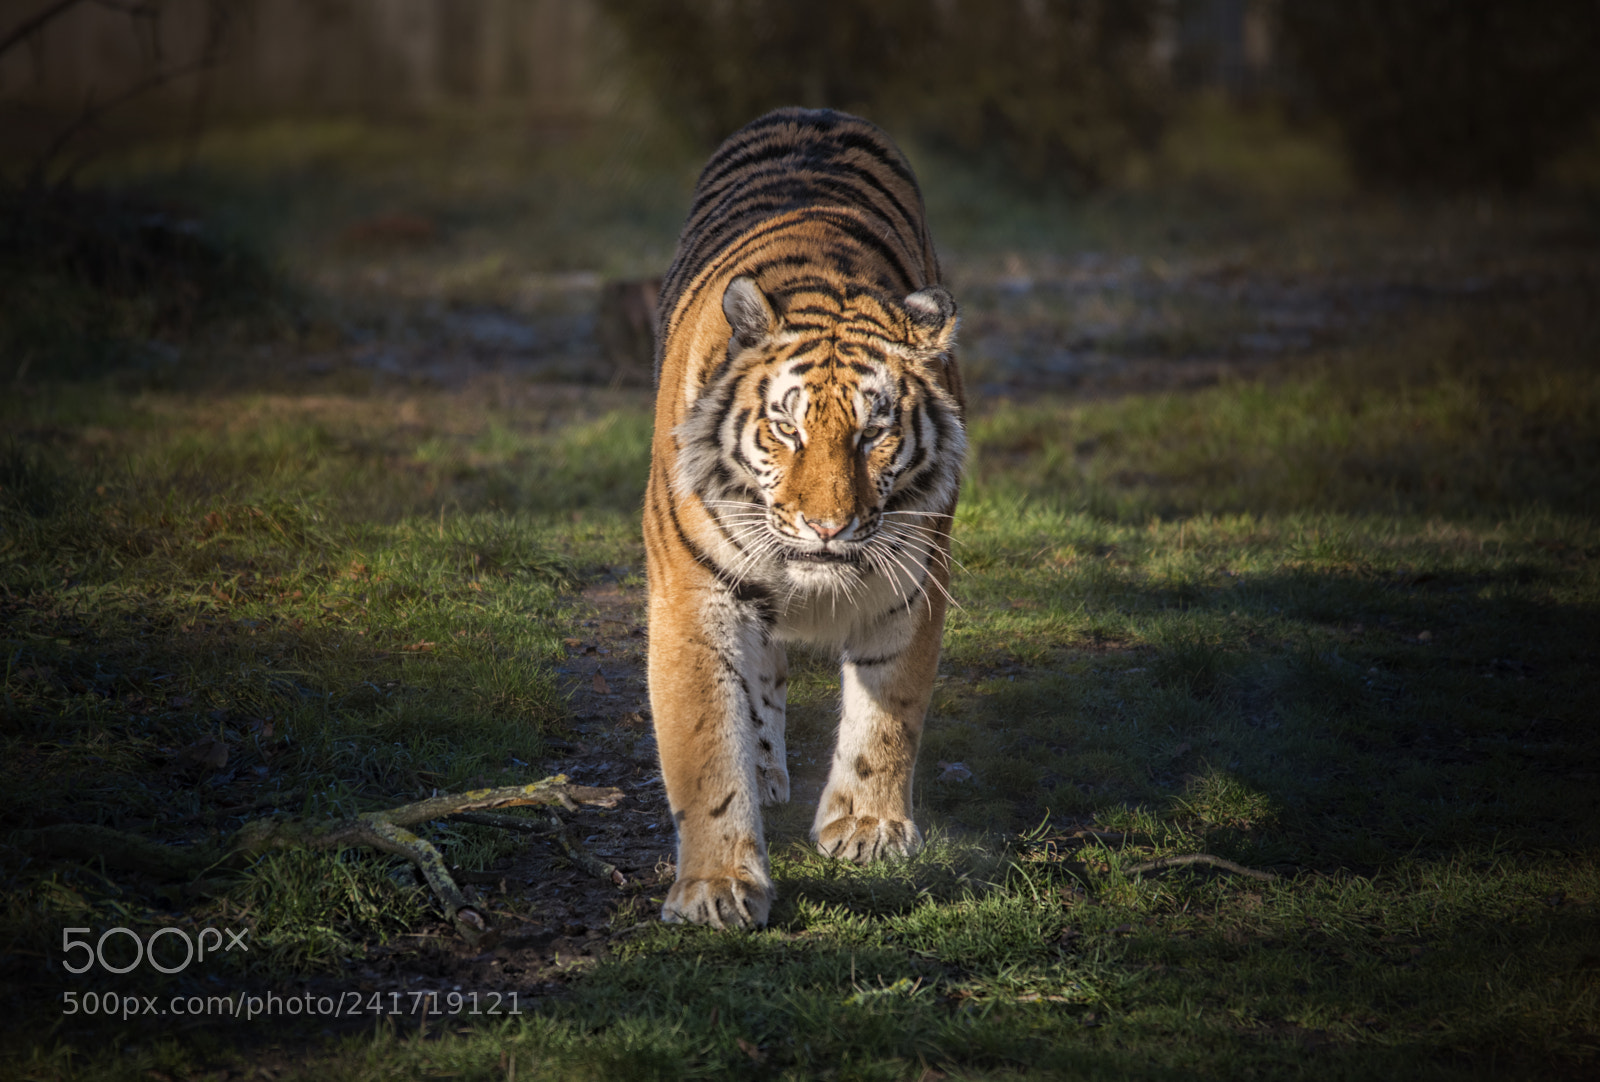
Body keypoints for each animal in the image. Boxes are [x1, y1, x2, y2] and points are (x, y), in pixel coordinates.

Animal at [643, 107, 965, 928]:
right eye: (785, 428)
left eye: (874, 431)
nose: (826, 527)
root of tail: (813, 110)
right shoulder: (693, 591)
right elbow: (705, 740)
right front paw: (717, 886)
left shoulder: (913, 577)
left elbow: (889, 709)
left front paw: (868, 827)